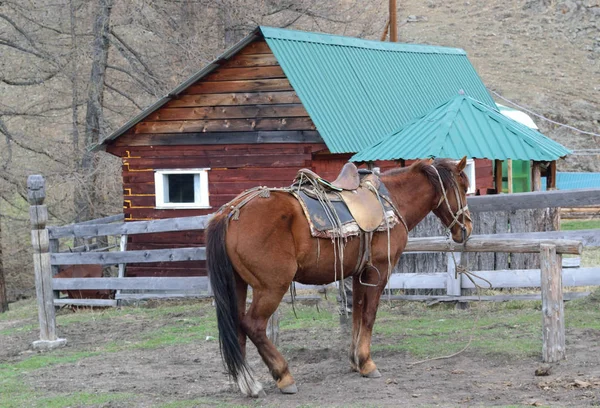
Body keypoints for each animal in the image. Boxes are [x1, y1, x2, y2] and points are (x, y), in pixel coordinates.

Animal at [206, 156, 474, 396]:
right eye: (463, 187)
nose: (467, 228)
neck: (391, 201)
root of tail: (228, 213)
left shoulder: (358, 274)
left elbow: (356, 314)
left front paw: (355, 361)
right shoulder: (379, 271)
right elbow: (369, 315)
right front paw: (367, 363)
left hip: (238, 285)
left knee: (238, 327)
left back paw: (247, 383)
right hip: (271, 287)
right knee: (253, 325)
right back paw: (283, 377)